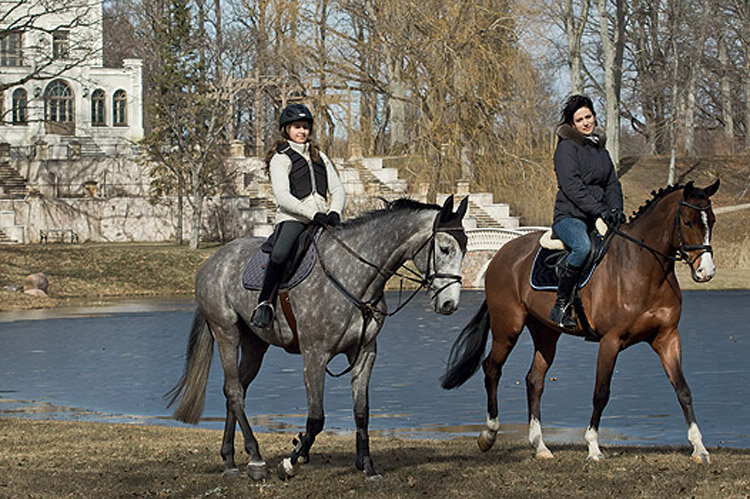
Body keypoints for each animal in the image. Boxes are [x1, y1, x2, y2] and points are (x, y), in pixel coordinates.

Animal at [167, 195, 468, 480]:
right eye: (445, 248)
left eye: (465, 248)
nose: (450, 304)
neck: (354, 276)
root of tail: (213, 260)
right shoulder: (314, 355)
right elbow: (316, 419)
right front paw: (290, 462)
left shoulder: (364, 353)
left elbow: (362, 413)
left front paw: (367, 467)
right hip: (226, 333)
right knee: (234, 390)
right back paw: (256, 459)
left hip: (255, 345)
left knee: (235, 390)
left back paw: (230, 459)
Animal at [444, 181, 720, 464]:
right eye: (687, 222)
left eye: (711, 220)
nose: (706, 272)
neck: (645, 268)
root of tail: (502, 253)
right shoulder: (611, 341)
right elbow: (601, 393)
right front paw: (593, 447)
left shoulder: (667, 337)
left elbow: (683, 389)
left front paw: (699, 447)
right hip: (507, 328)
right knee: (492, 369)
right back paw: (489, 434)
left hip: (546, 334)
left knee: (534, 380)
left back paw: (540, 445)